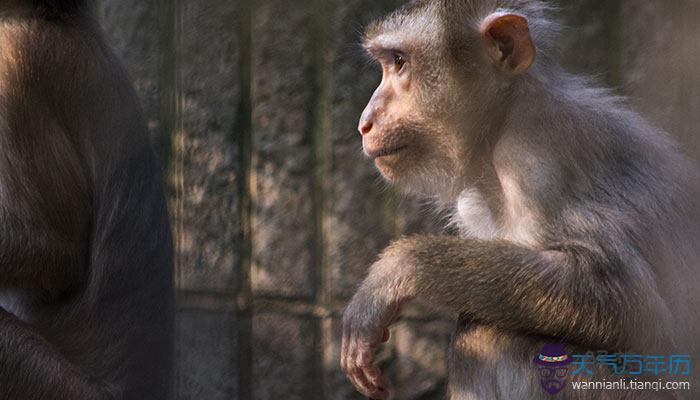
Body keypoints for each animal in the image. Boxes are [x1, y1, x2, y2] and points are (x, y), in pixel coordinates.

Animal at [342, 0, 700, 400]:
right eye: (388, 63)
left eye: (399, 61)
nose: (364, 121)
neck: (503, 120)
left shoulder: (537, 161)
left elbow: (628, 302)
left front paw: (397, 270)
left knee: (488, 333)